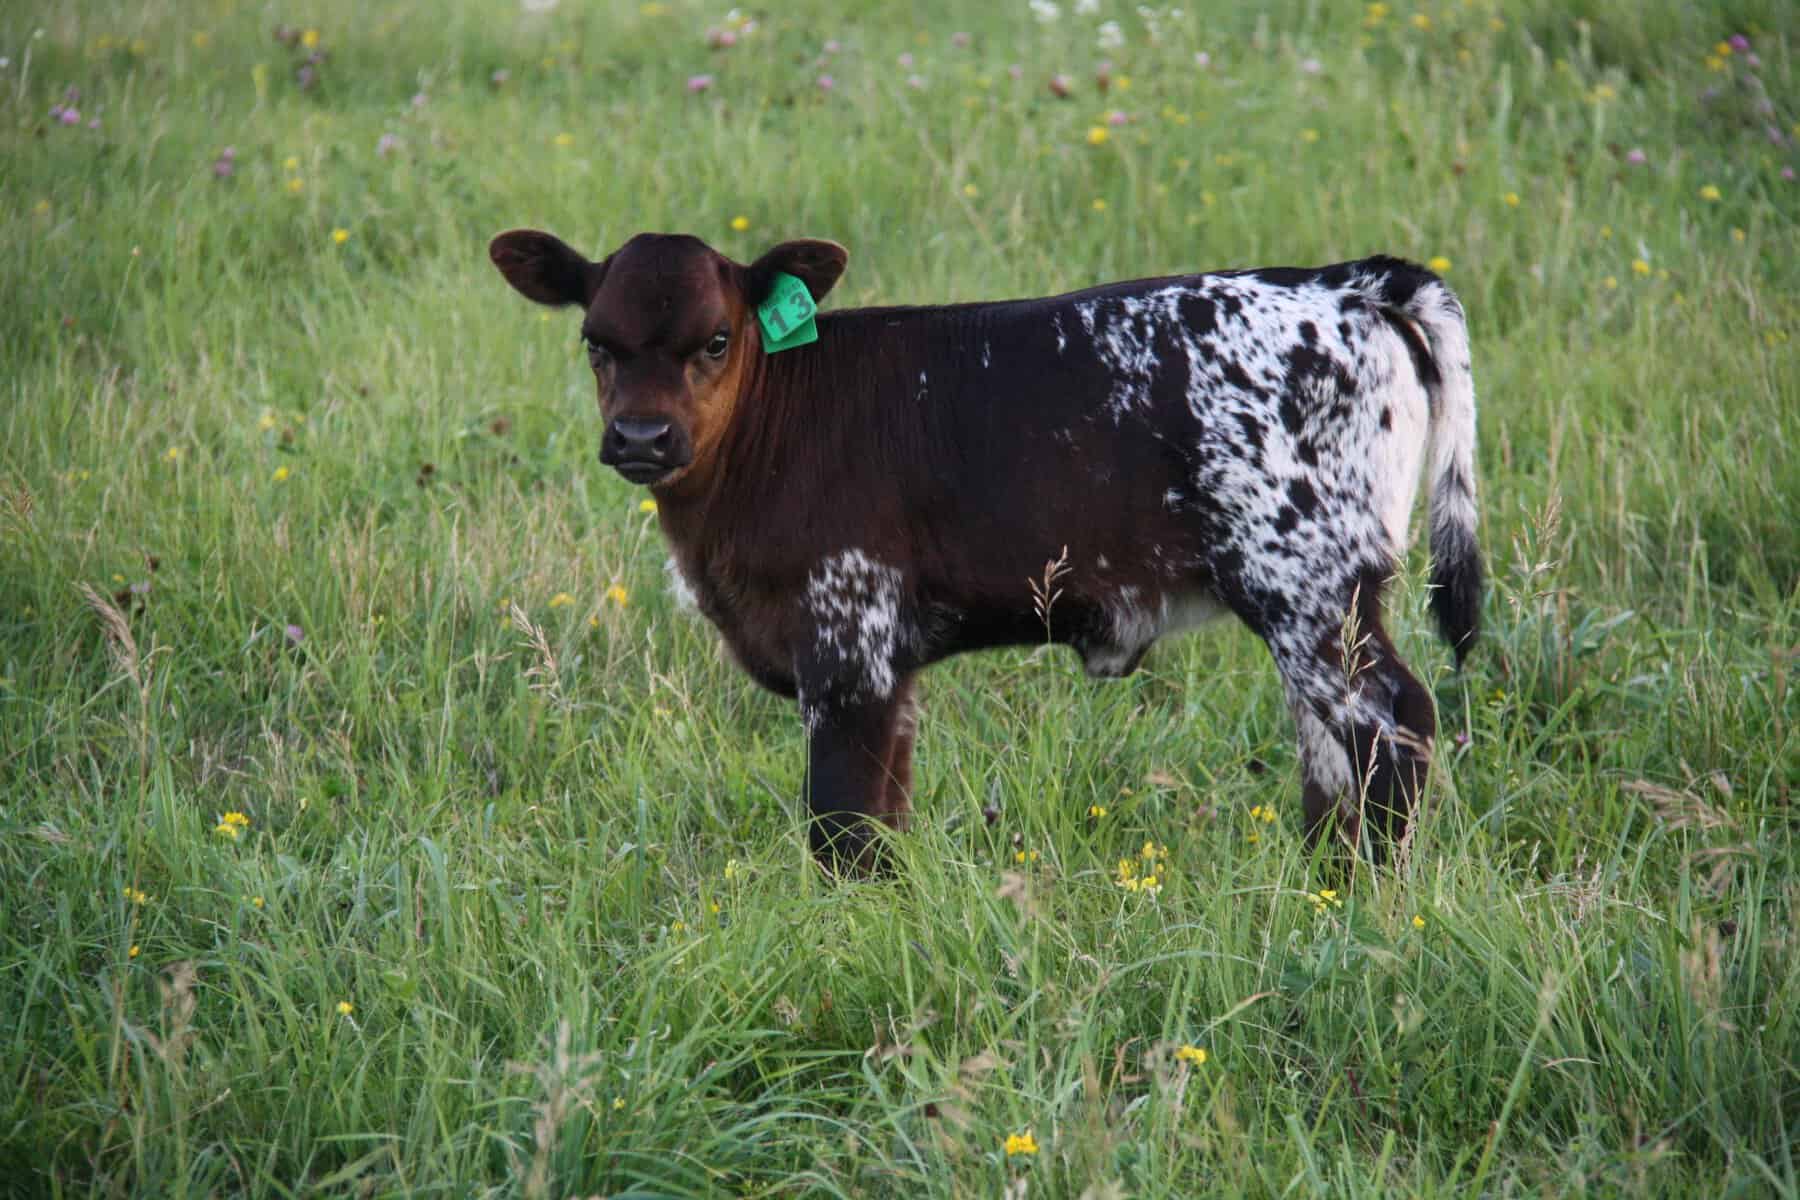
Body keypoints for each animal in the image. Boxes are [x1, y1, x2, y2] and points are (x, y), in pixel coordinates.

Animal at [488, 227, 1481, 873]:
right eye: (595, 342)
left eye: (717, 340)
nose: (641, 438)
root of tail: (1341, 282)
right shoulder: (887, 668)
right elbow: (884, 813)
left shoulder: (846, 648)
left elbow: (842, 826)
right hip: (1317, 602)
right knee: (1329, 746)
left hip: (1305, 582)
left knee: (1394, 722)